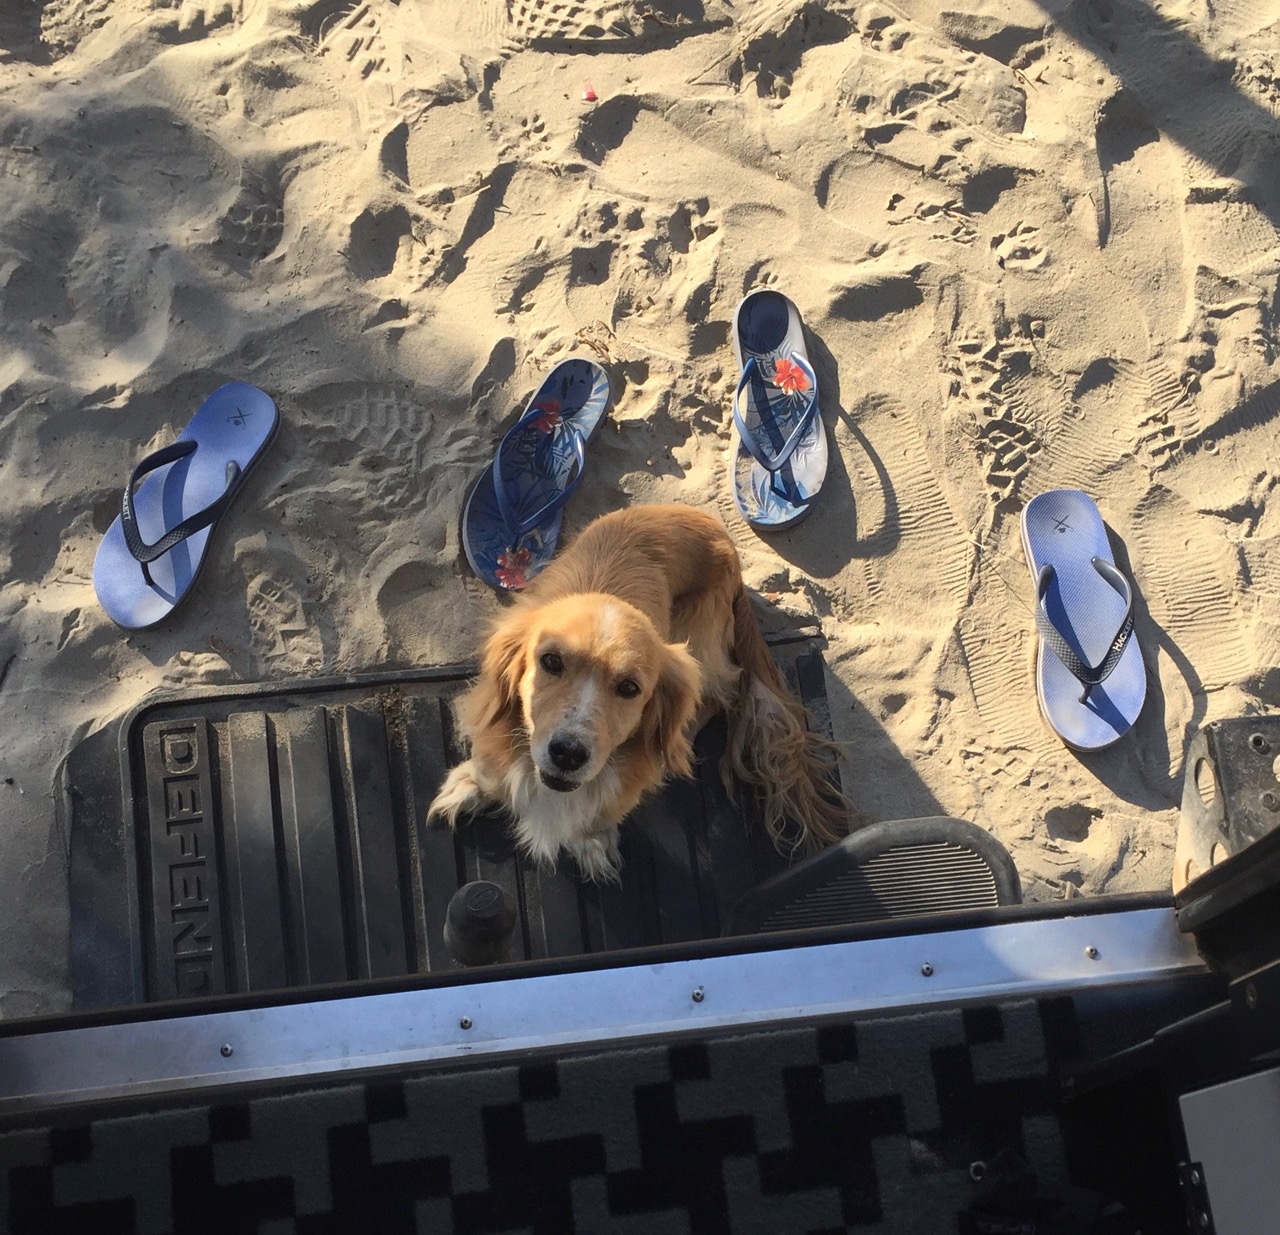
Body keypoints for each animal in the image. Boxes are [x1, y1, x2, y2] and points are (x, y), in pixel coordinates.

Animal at [427, 504, 849, 881]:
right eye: (551, 661)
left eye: (629, 688)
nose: (568, 753)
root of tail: (721, 535)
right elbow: (488, 763)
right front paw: (472, 785)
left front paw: (590, 838)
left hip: (697, 642)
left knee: (714, 697)